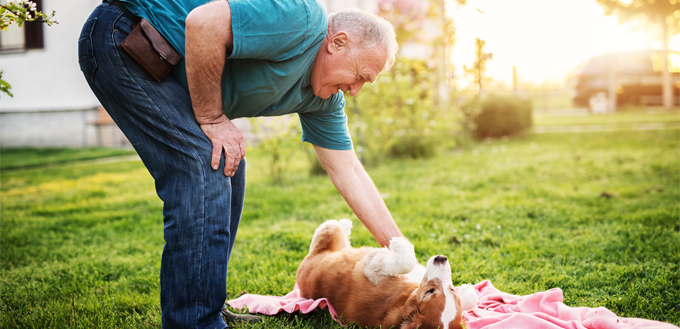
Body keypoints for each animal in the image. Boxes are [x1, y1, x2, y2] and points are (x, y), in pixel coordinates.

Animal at [294, 218, 476, 328]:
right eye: (429, 291)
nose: (441, 258)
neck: (404, 299)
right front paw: (468, 291)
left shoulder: (373, 266)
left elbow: (405, 261)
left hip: (327, 237)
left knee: (330, 227)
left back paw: (344, 224)